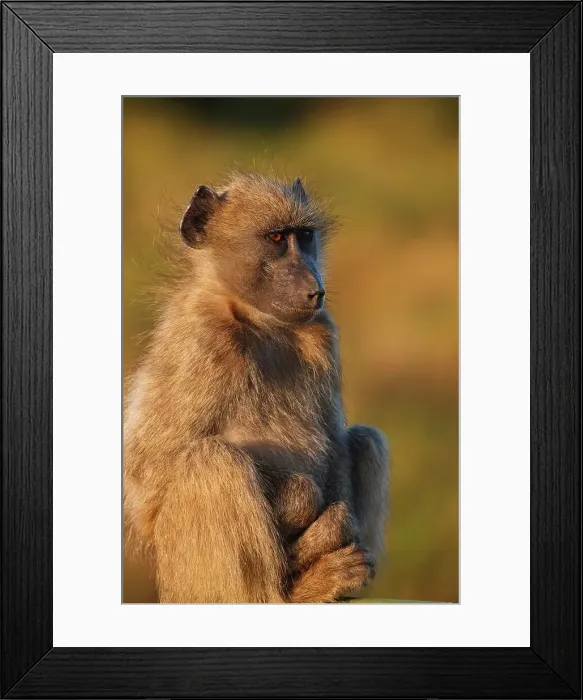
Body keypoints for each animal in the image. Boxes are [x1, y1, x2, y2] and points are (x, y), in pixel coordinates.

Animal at [123, 173, 389, 603]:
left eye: (305, 236)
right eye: (276, 238)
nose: (314, 287)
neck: (259, 322)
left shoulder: (324, 333)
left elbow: (335, 445)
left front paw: (324, 534)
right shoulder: (203, 339)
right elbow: (146, 481)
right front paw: (306, 524)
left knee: (367, 440)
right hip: (187, 584)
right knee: (212, 461)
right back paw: (302, 590)